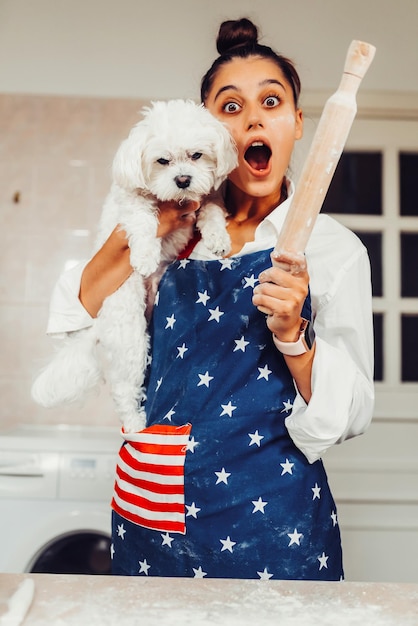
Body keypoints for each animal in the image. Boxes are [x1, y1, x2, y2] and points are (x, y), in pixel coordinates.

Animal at [31, 100, 237, 432]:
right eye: (162, 161)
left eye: (196, 155)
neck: (177, 202)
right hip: (130, 335)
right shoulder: (129, 201)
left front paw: (218, 238)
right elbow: (143, 218)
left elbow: (212, 212)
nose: (183, 180)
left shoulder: (210, 197)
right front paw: (144, 255)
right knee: (123, 389)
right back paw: (137, 423)